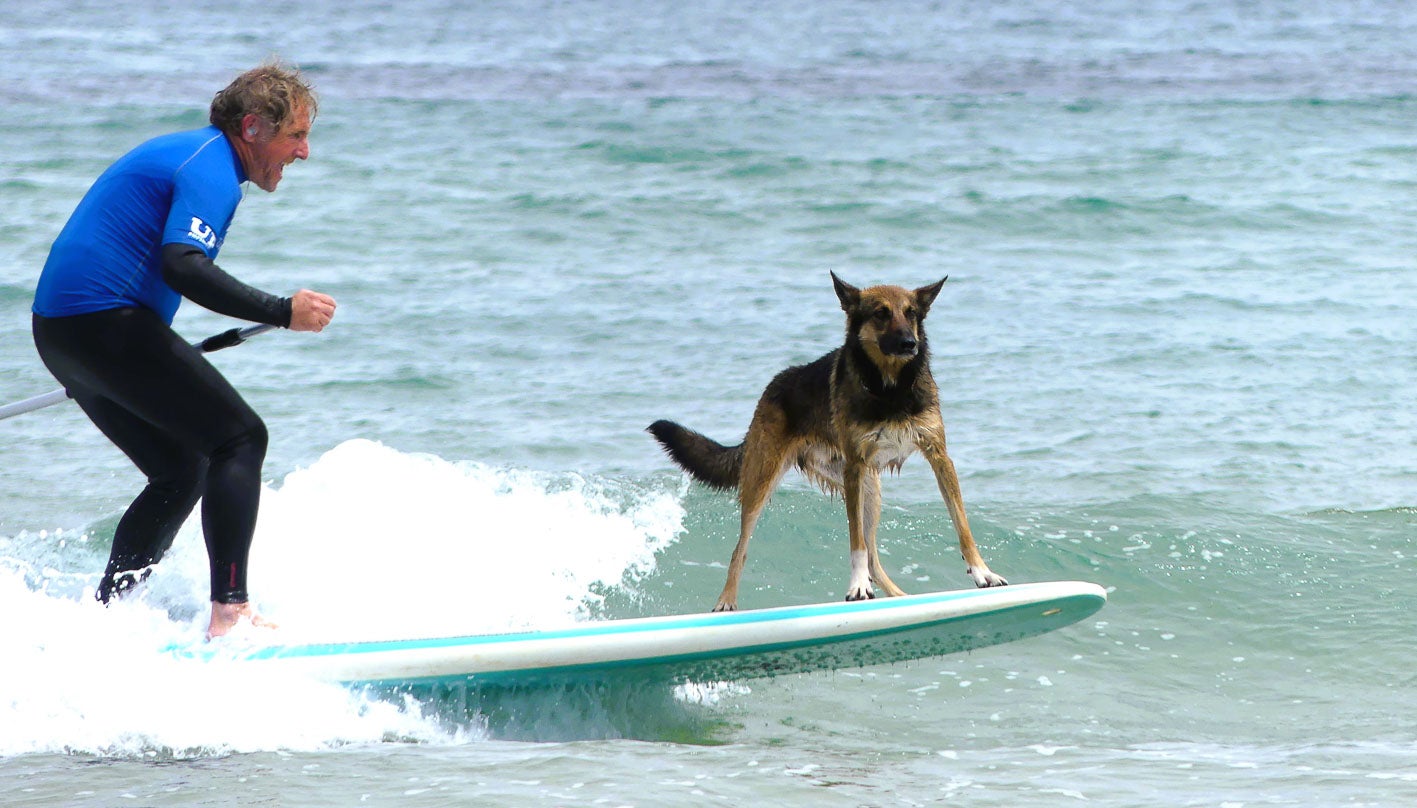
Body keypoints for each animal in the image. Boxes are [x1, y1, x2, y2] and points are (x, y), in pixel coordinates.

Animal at [648, 270, 1003, 609]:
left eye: (911, 313)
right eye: (881, 314)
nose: (909, 343)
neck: (890, 389)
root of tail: (772, 385)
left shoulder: (939, 456)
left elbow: (962, 524)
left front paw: (983, 573)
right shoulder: (855, 466)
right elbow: (855, 543)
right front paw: (856, 586)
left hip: (870, 490)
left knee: (874, 557)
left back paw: (898, 596)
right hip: (764, 481)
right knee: (741, 550)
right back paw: (726, 602)